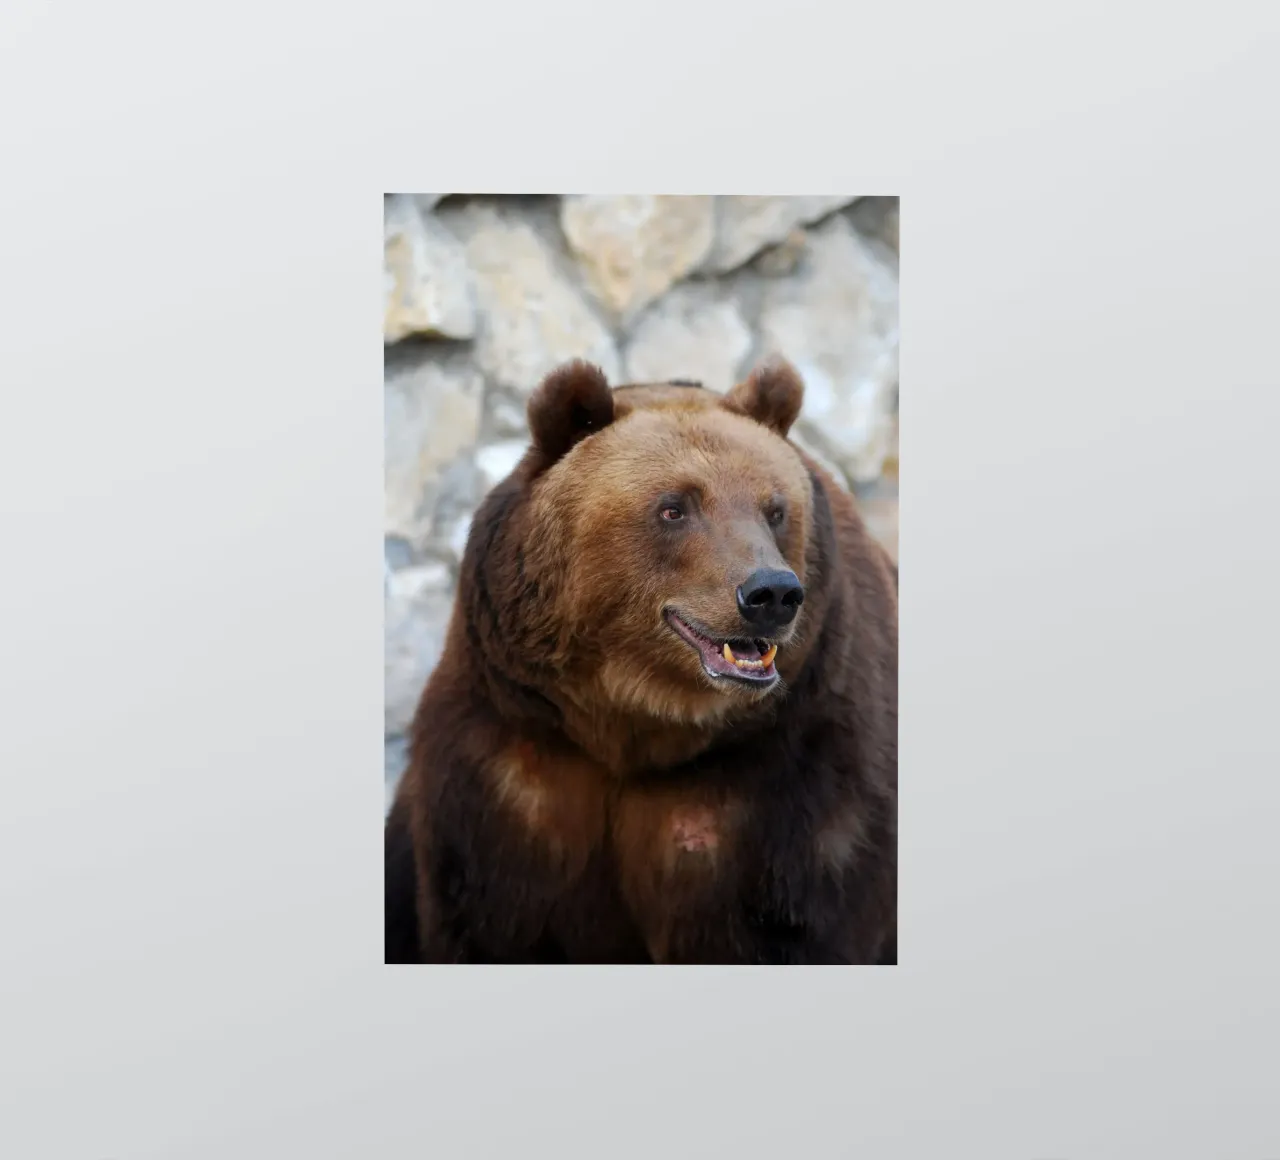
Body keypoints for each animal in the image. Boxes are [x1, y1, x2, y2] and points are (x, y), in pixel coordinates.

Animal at [385, 356, 897, 965]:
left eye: (775, 509)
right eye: (674, 507)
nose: (771, 593)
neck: (634, 722)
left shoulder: (789, 779)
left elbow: (790, 924)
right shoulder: (514, 765)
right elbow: (490, 920)